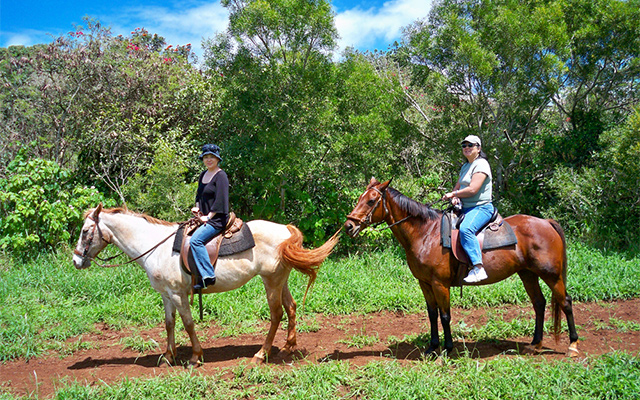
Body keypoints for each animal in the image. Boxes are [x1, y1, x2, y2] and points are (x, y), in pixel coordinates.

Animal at [74, 206, 340, 366]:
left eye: (86, 231)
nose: (76, 260)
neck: (155, 247)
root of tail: (285, 229)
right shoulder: (166, 295)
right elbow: (169, 324)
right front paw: (168, 356)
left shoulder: (178, 294)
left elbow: (188, 324)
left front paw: (195, 357)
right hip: (279, 280)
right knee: (291, 307)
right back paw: (287, 348)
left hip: (271, 282)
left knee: (276, 315)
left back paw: (261, 354)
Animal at [344, 178, 580, 356]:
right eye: (360, 198)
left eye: (371, 201)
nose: (349, 225)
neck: (426, 233)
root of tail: (546, 222)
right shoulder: (424, 283)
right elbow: (432, 314)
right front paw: (432, 347)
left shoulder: (440, 284)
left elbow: (445, 316)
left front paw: (447, 349)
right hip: (528, 274)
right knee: (539, 303)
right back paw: (535, 343)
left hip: (551, 275)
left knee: (565, 302)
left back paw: (573, 345)